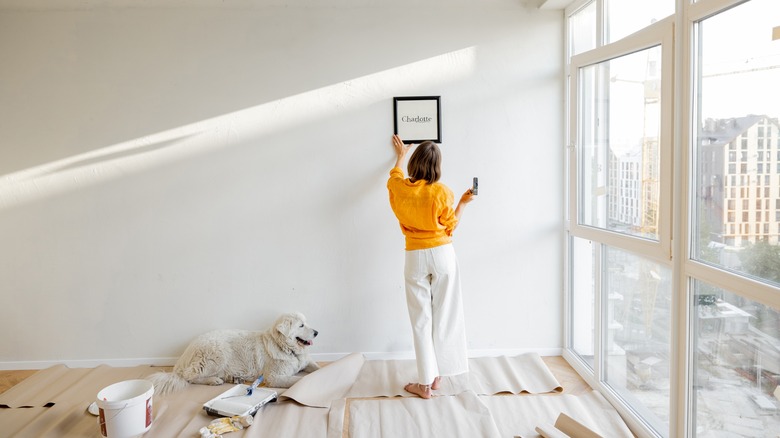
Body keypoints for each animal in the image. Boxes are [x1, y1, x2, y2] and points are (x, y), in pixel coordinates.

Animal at [149, 312, 320, 394]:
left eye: (306, 323)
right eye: (301, 325)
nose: (317, 332)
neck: (285, 347)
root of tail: (186, 351)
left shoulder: (306, 362)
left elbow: (317, 368)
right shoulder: (274, 377)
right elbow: (297, 379)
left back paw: (233, 378)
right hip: (218, 353)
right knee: (189, 376)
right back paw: (214, 380)